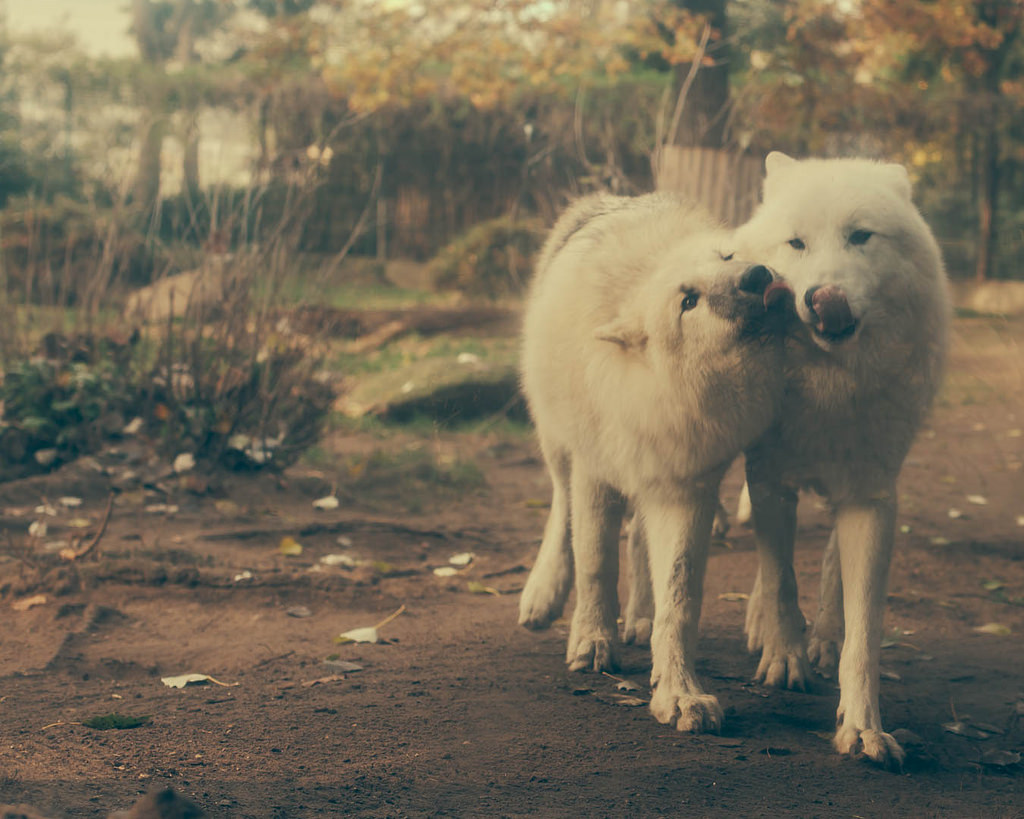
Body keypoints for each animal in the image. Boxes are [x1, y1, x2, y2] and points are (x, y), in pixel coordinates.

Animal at [516, 192, 794, 728]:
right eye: (687, 301)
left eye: (727, 258)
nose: (757, 276)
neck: (654, 388)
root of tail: (608, 199)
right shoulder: (595, 474)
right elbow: (595, 563)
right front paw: (592, 641)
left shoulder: (686, 487)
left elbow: (680, 599)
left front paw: (679, 692)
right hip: (558, 446)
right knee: (561, 514)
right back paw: (543, 595)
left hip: (650, 478)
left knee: (640, 540)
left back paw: (640, 619)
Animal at [724, 155, 946, 769]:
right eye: (797, 243)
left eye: (861, 237)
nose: (826, 300)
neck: (829, 385)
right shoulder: (770, 480)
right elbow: (780, 583)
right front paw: (783, 659)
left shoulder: (871, 500)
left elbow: (864, 632)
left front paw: (864, 728)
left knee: (827, 571)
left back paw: (821, 638)